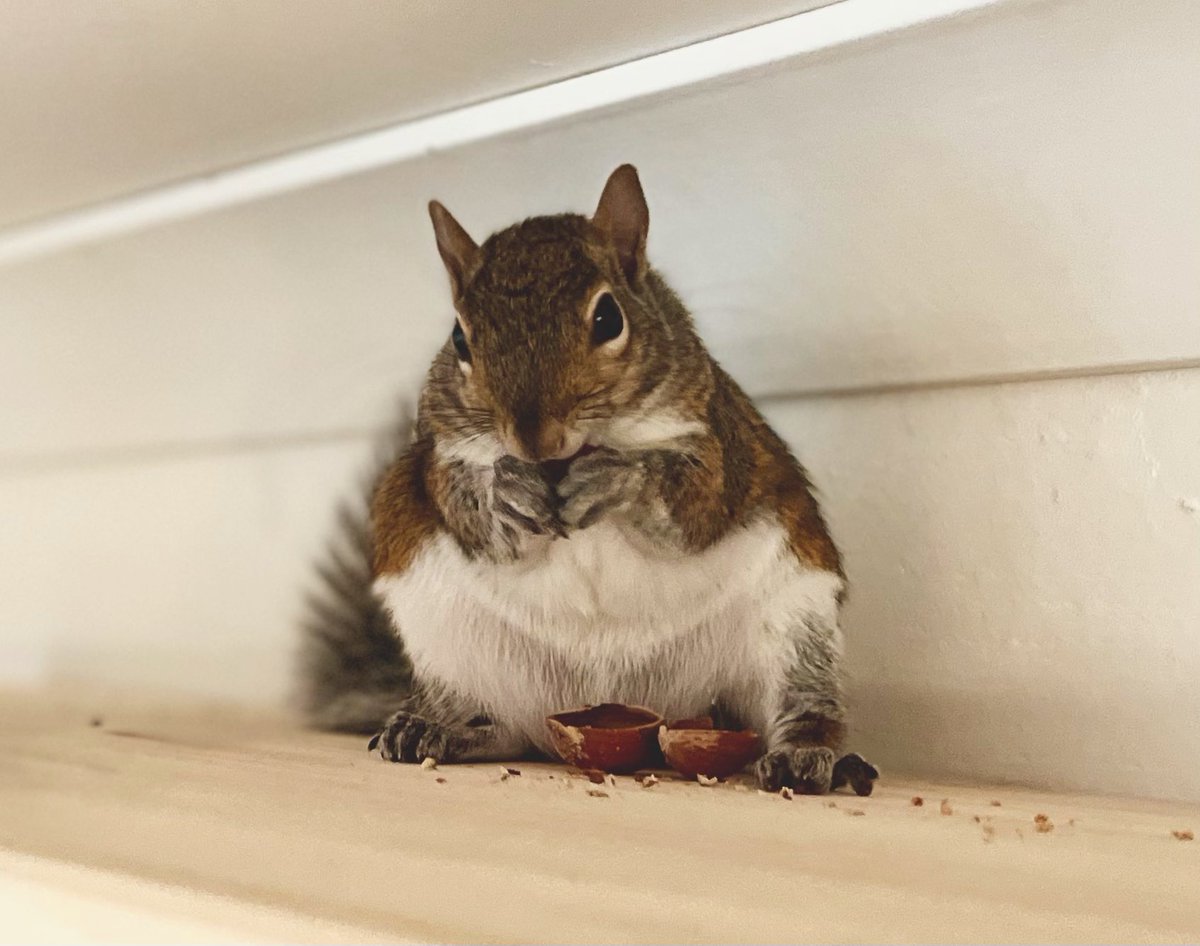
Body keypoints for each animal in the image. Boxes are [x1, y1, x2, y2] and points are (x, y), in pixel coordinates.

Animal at [300, 166, 878, 792]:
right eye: (459, 338)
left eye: (608, 317)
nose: (534, 440)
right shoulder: (437, 457)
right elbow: (466, 504)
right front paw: (506, 490)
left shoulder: (720, 442)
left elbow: (694, 505)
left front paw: (620, 479)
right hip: (447, 643)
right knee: (502, 729)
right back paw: (437, 729)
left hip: (795, 625)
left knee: (803, 707)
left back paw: (806, 754)